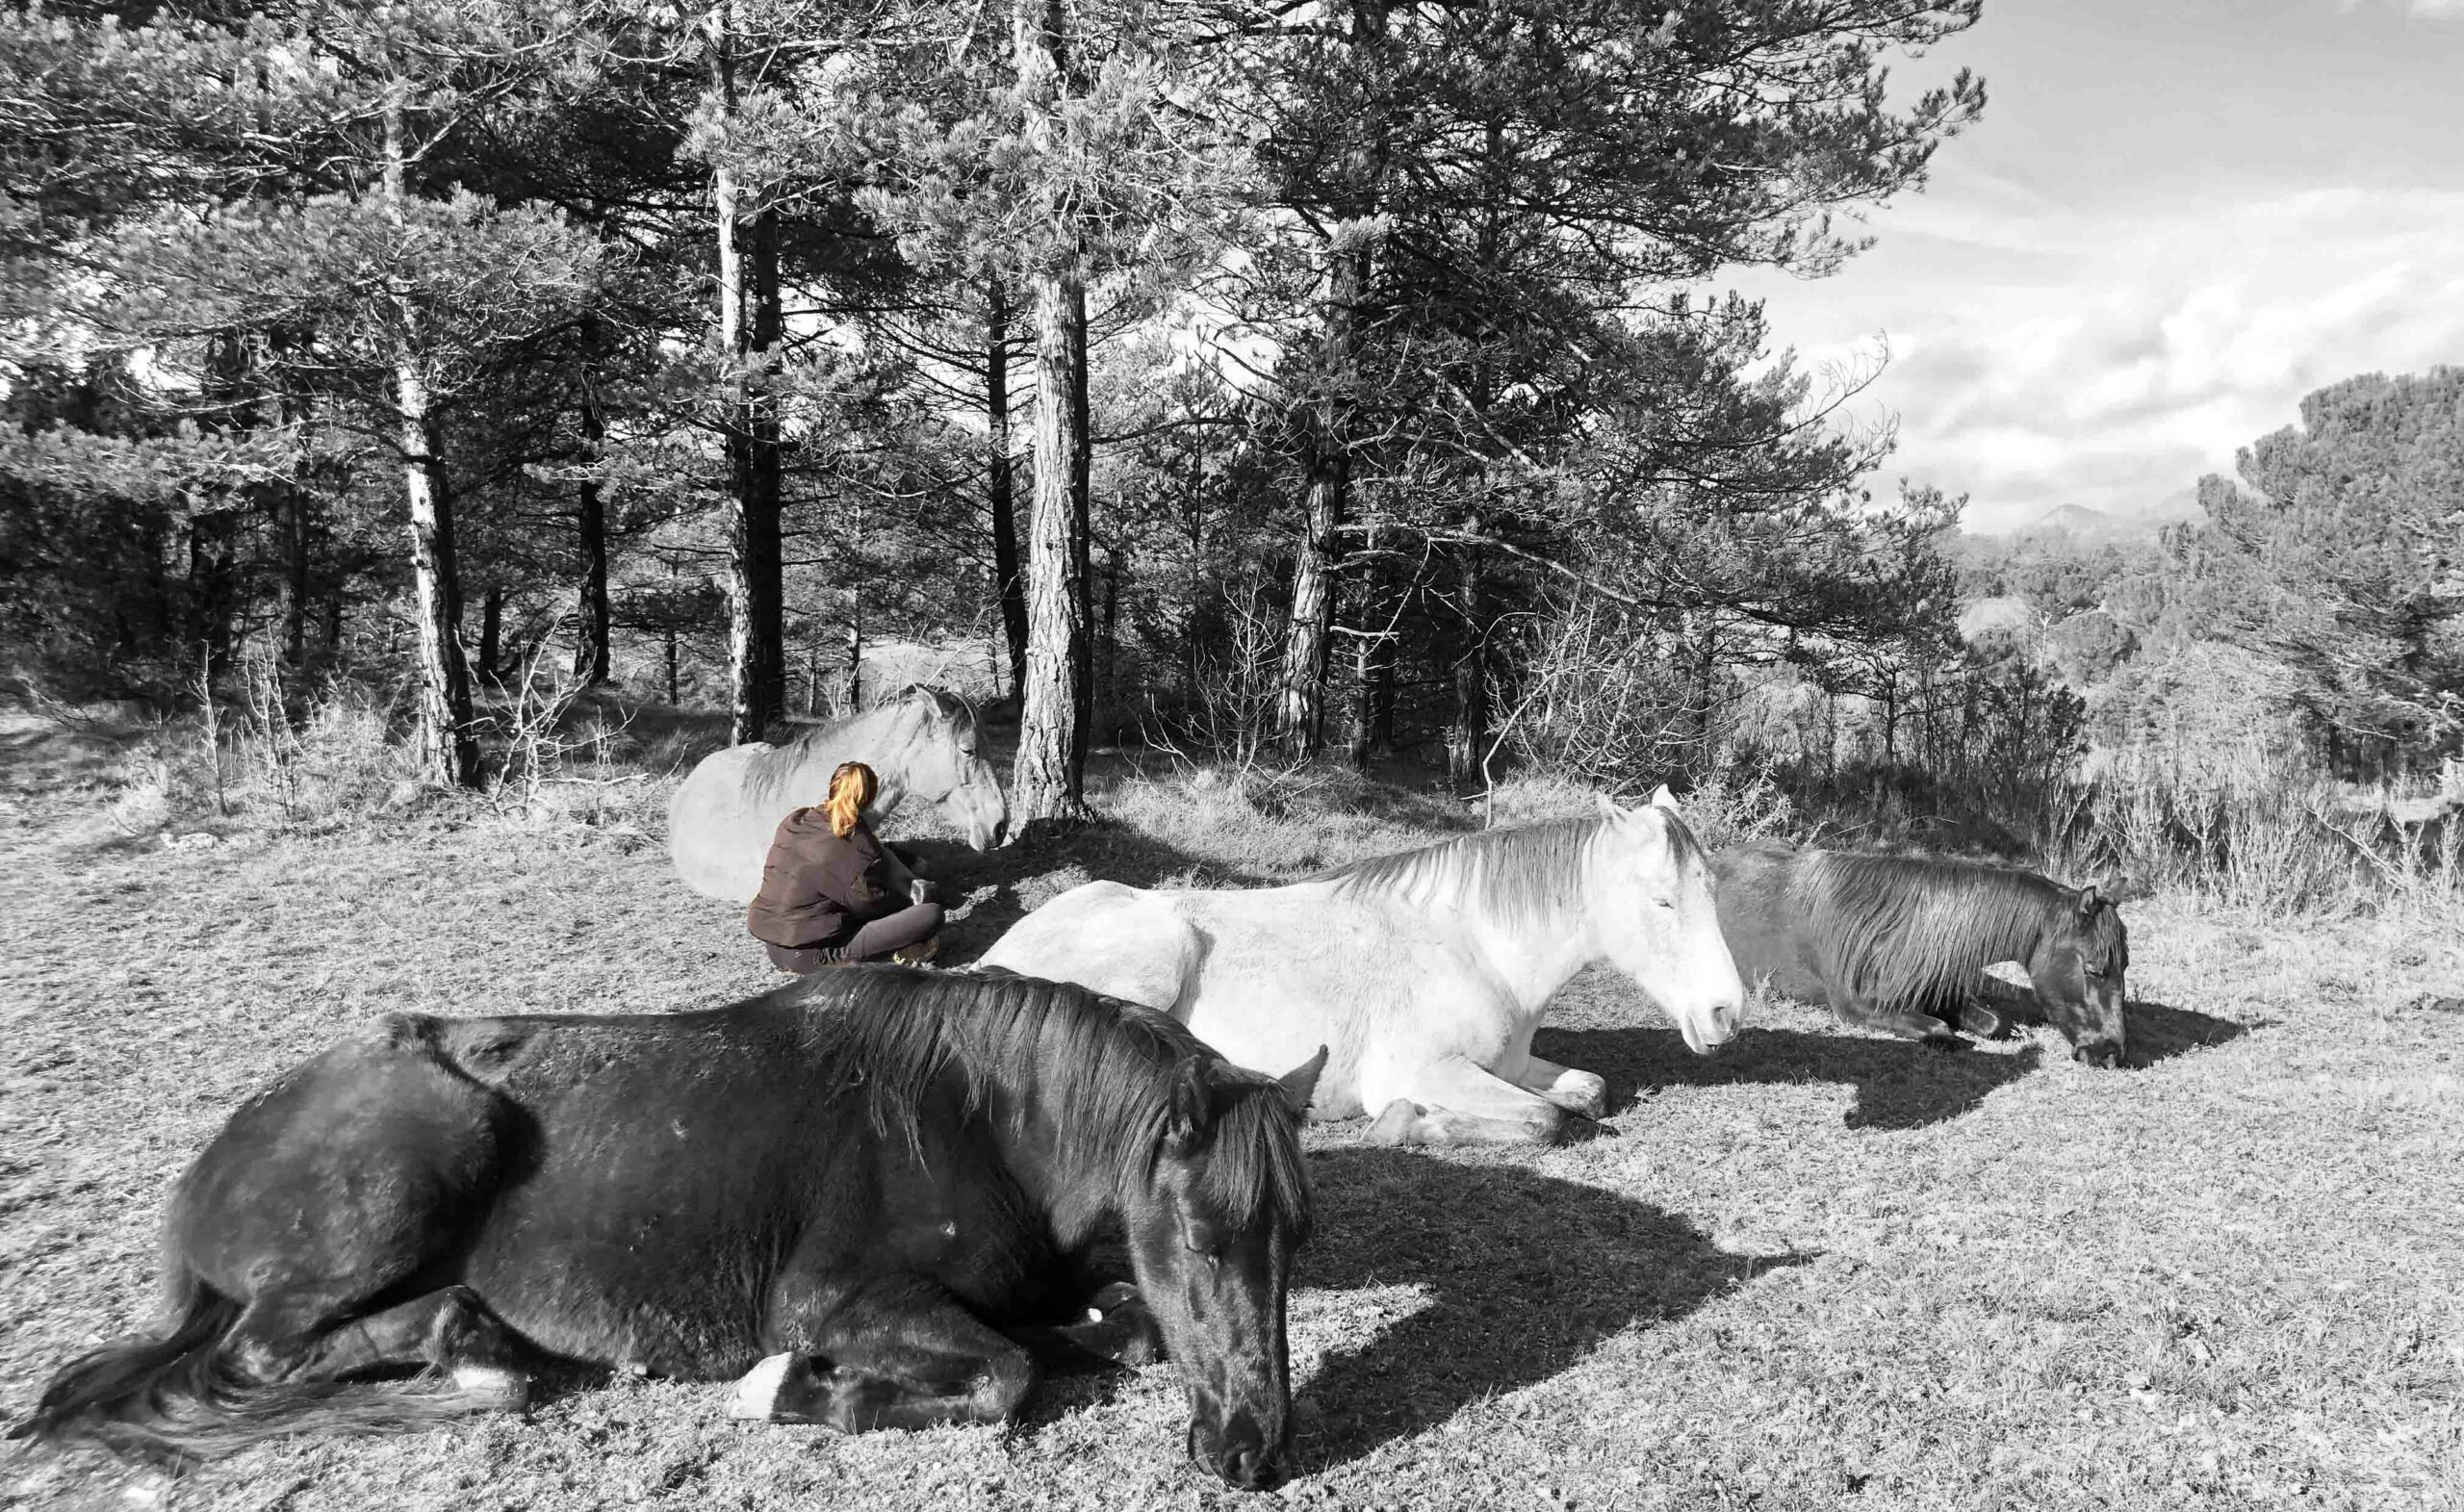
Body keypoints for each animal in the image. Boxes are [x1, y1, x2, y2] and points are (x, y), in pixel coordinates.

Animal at [14, 964, 1330, 1487]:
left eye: (1294, 1239)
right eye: (1202, 1239)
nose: (1254, 1451)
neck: (973, 1119)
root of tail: (211, 1164)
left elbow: (1113, 1331)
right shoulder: (840, 1300)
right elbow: (1006, 1373)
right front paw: (793, 1388)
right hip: (405, 1180)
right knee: (258, 1355)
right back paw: (470, 1351)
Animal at [970, 792, 1744, 1147]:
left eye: (1712, 888)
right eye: (1663, 899)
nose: (1726, 1013)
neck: (1473, 946)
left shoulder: (1514, 1063)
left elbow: (1587, 1092)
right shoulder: (1430, 1069)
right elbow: (1544, 1119)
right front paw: (1412, 1125)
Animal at [1714, 842, 2139, 1068]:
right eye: (2093, 970)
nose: (2111, 1053)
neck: (1895, 930)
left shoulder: (1941, 991)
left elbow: (1994, 1023)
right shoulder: (1856, 1008)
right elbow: (1939, 1030)